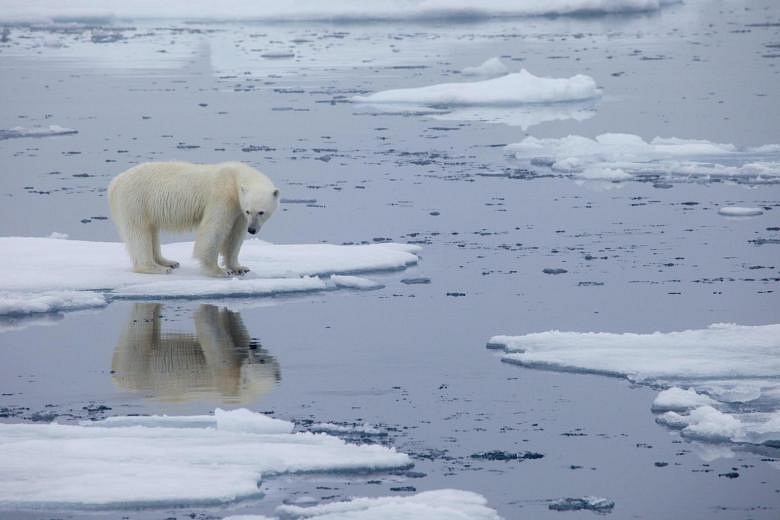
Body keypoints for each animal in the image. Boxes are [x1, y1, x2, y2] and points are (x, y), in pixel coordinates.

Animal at [108, 161, 278, 276]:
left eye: (261, 212)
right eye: (250, 211)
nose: (252, 230)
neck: (234, 177)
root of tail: (115, 181)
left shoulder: (238, 210)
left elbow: (235, 236)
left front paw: (239, 267)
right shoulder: (222, 198)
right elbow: (213, 230)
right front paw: (219, 270)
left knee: (151, 231)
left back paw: (168, 262)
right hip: (136, 200)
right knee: (139, 232)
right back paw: (156, 268)